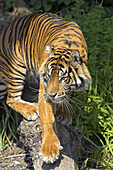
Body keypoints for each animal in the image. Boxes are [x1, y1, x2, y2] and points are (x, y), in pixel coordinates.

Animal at [0, 12, 91, 163]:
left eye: (63, 78)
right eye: (48, 76)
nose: (52, 94)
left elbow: (67, 95)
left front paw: (63, 113)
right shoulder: (44, 90)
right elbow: (47, 117)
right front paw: (49, 151)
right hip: (15, 67)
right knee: (10, 99)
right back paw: (30, 110)